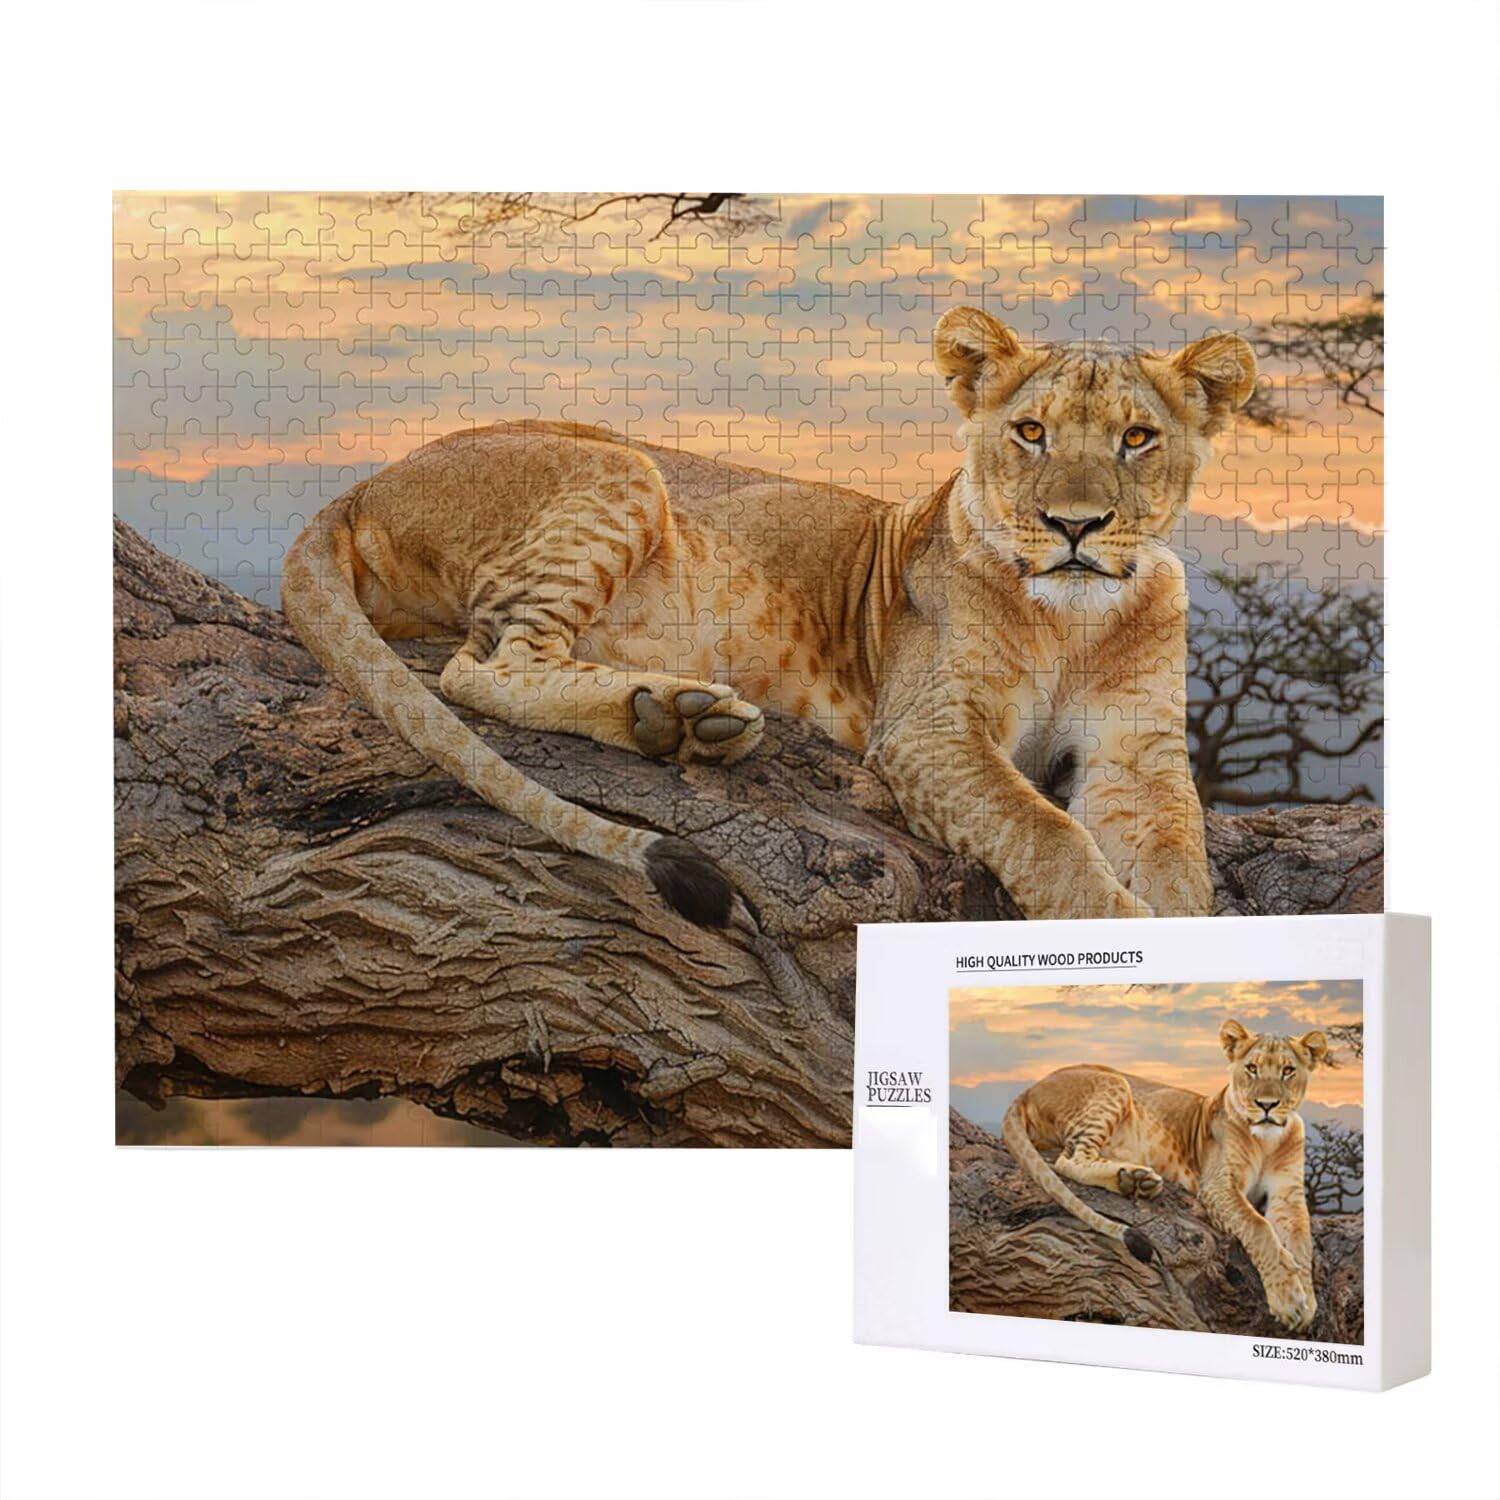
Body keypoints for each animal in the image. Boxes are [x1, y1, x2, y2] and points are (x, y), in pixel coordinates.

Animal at [281, 307, 1255, 924]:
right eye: (1031, 432)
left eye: (1137, 439)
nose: (1075, 526)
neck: (1074, 619)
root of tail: (366, 480)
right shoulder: (926, 729)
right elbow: (1044, 832)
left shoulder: (1136, 751)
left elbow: (1179, 857)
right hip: (624, 470)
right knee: (479, 667)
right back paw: (670, 717)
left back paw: (679, 721)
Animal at [1002, 1018, 1330, 1330]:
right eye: (1252, 1068)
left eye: (1288, 1071)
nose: (1266, 1105)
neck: (1267, 1140)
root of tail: (1030, 1087)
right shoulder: (1217, 1184)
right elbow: (1258, 1226)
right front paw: (1288, 1299)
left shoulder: (1287, 1194)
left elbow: (1301, 1241)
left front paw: (1305, 1298)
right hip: (1114, 1082)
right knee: (1067, 1160)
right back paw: (1132, 1180)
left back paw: (1135, 1180)